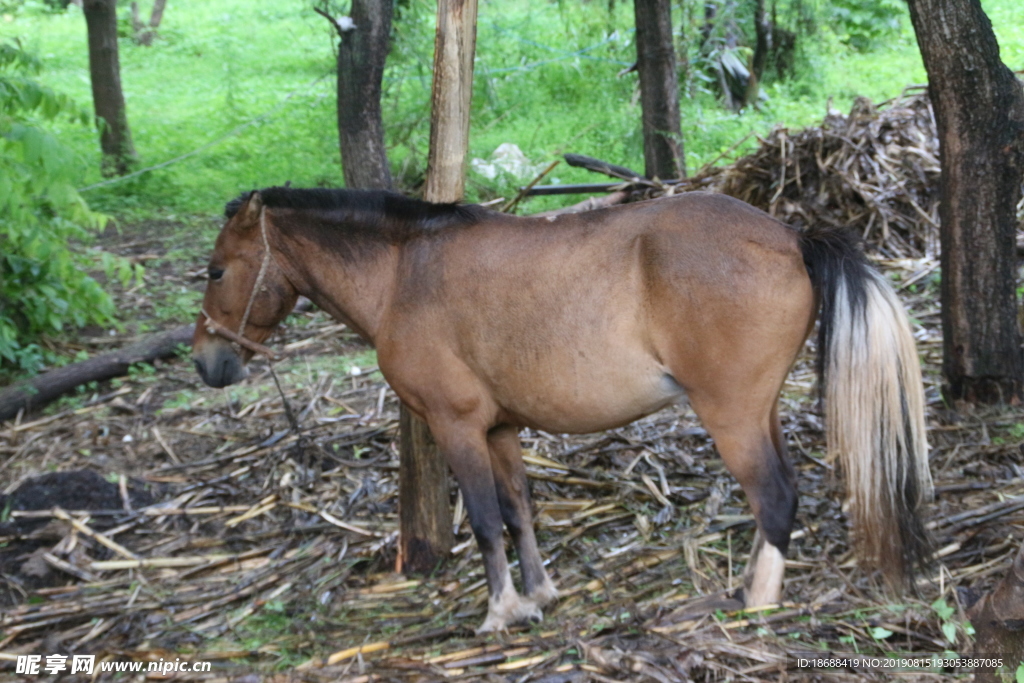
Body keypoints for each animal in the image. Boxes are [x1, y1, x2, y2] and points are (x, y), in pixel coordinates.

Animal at [188, 185, 933, 630]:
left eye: (218, 269)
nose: (205, 361)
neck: (405, 273)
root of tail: (790, 237)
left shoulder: (457, 426)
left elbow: (485, 520)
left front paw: (501, 610)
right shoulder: (500, 430)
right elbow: (519, 512)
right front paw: (539, 592)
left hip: (731, 415)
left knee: (774, 495)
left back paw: (756, 603)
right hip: (760, 411)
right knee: (780, 494)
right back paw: (748, 582)